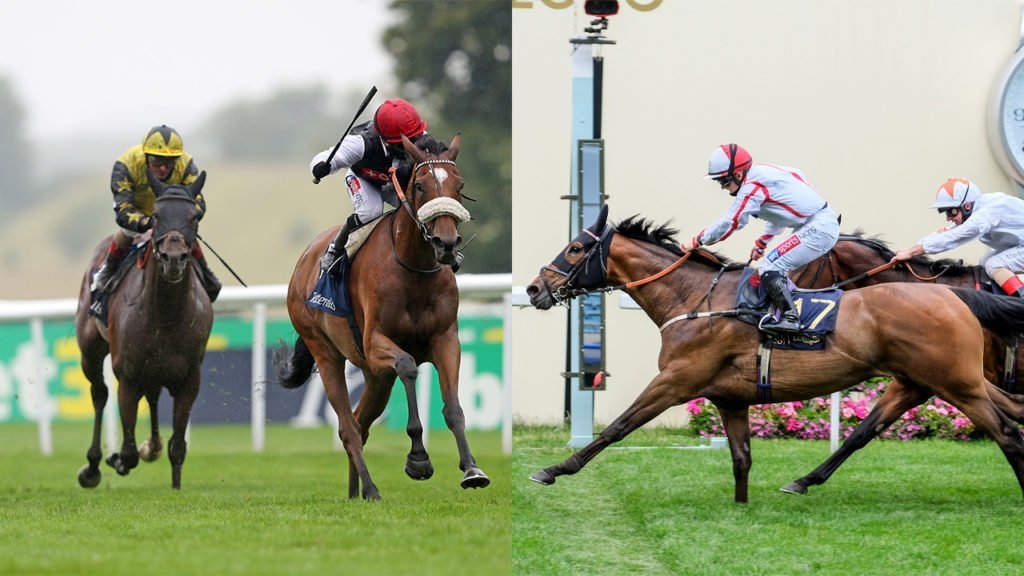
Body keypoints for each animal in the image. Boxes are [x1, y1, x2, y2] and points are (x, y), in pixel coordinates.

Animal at [76, 171, 214, 487]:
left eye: (194, 217)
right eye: (157, 216)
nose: (173, 258)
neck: (164, 315)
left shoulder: (189, 379)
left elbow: (178, 448)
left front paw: (175, 485)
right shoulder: (127, 377)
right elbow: (128, 452)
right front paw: (117, 458)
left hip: (156, 370)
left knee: (151, 397)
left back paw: (152, 445)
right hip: (90, 351)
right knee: (99, 393)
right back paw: (92, 466)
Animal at [278, 132, 489, 496]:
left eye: (459, 185)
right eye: (419, 185)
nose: (446, 243)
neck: (414, 270)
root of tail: (304, 260)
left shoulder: (446, 340)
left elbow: (453, 408)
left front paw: (471, 469)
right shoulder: (376, 344)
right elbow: (408, 366)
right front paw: (418, 458)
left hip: (375, 376)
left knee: (360, 423)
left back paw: (356, 493)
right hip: (326, 352)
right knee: (348, 427)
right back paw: (371, 489)